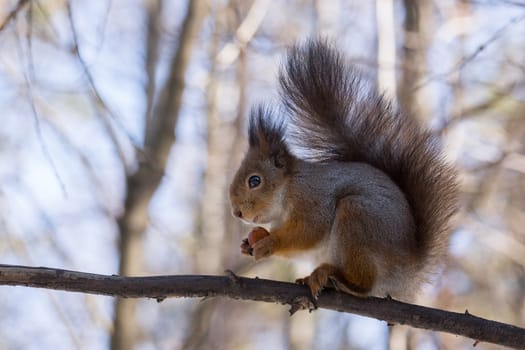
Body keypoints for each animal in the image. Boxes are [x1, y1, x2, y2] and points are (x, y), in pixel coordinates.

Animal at [227, 38, 456, 300]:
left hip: (358, 217)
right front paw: (249, 243)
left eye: (255, 181)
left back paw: (335, 278)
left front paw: (268, 244)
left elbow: (309, 231)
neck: (288, 188)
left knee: (365, 283)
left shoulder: (313, 199)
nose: (236, 213)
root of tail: (407, 275)